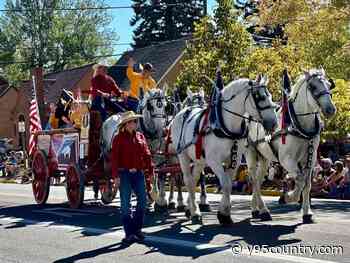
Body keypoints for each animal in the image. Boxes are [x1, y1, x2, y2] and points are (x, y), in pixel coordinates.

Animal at [168, 75, 278, 226]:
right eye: (260, 97)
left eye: (270, 96)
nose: (274, 123)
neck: (226, 125)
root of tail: (183, 112)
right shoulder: (214, 160)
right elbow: (225, 183)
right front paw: (224, 214)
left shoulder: (234, 160)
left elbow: (229, 184)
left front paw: (224, 213)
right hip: (182, 155)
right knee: (188, 180)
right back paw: (195, 213)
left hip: (199, 159)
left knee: (194, 178)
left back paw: (191, 209)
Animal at [246, 69, 336, 224]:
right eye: (312, 87)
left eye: (329, 85)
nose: (330, 109)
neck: (299, 124)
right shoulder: (286, 159)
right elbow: (299, 180)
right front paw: (288, 197)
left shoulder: (310, 159)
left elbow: (307, 184)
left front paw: (307, 213)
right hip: (251, 154)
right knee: (254, 180)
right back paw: (262, 210)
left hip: (264, 158)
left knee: (258, 179)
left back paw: (257, 210)